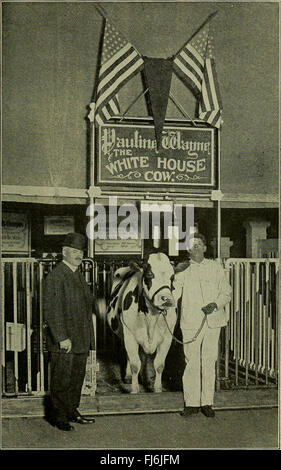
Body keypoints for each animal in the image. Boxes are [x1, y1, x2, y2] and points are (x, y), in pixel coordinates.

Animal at [106, 253, 176, 392]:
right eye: (149, 274)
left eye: (172, 277)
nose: (167, 299)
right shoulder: (129, 335)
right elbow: (135, 364)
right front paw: (134, 390)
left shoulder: (167, 337)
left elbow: (159, 365)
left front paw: (158, 389)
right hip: (123, 335)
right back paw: (128, 376)